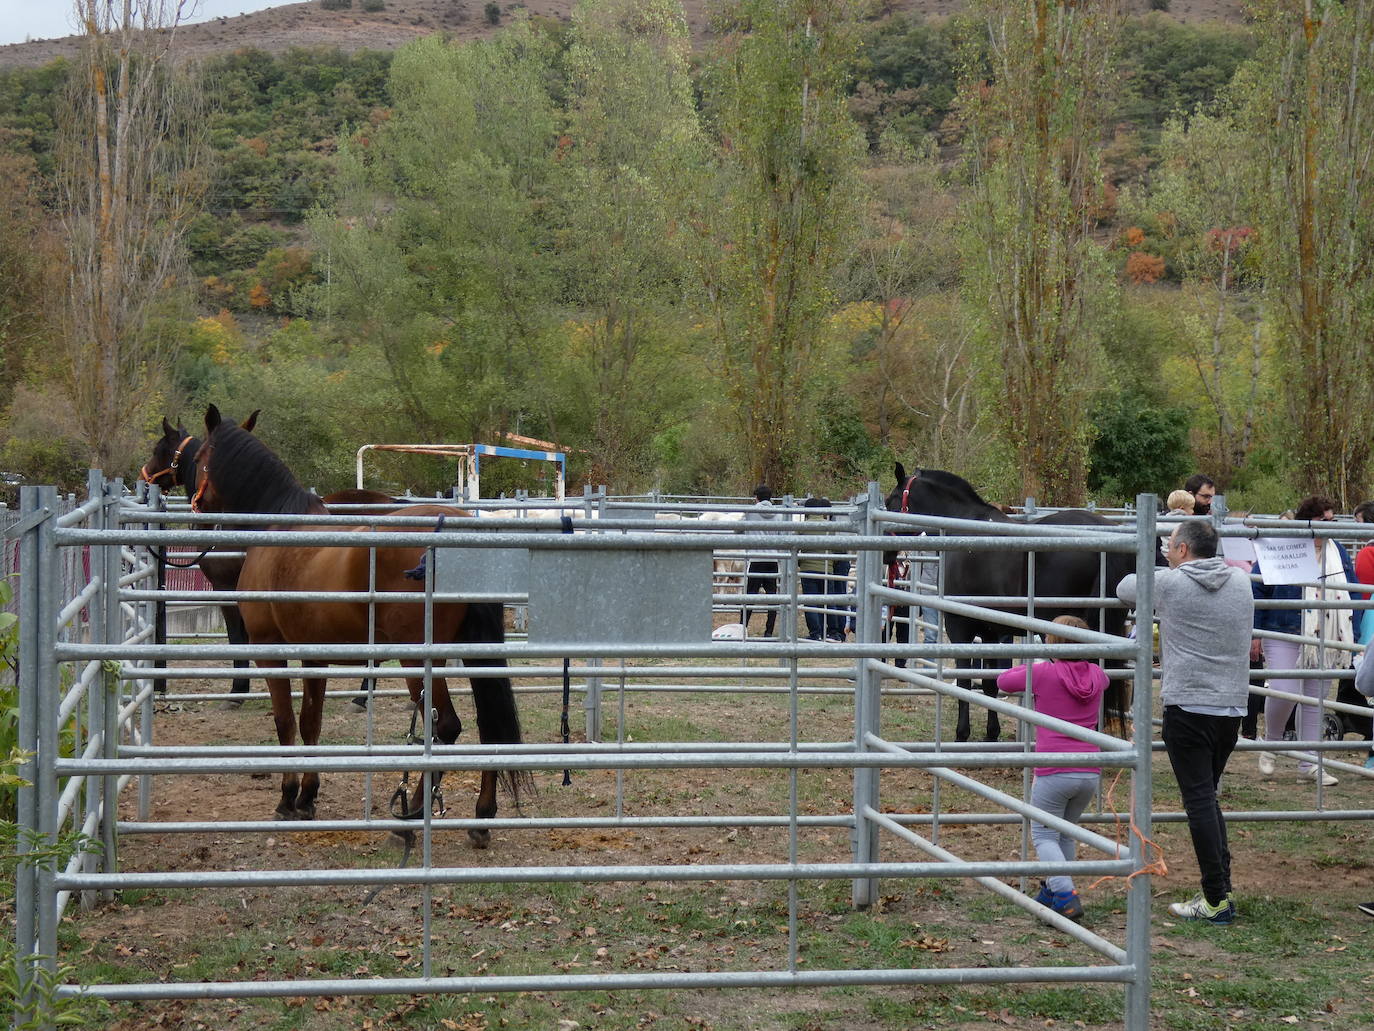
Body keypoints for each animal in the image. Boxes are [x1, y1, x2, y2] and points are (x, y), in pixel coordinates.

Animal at [192, 398, 530, 841]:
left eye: (198, 456)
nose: (196, 508)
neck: (281, 527)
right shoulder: (314, 655)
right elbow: (310, 722)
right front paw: (307, 797)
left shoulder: (270, 649)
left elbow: (285, 722)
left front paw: (287, 798)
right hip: (471, 651)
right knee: (488, 726)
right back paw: (481, 817)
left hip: (418, 659)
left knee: (447, 727)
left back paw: (411, 816)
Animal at [884, 467, 1132, 742]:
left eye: (889, 502)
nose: (887, 553)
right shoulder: (991, 631)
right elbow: (991, 684)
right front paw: (991, 734)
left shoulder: (959, 626)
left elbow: (965, 682)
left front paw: (962, 734)